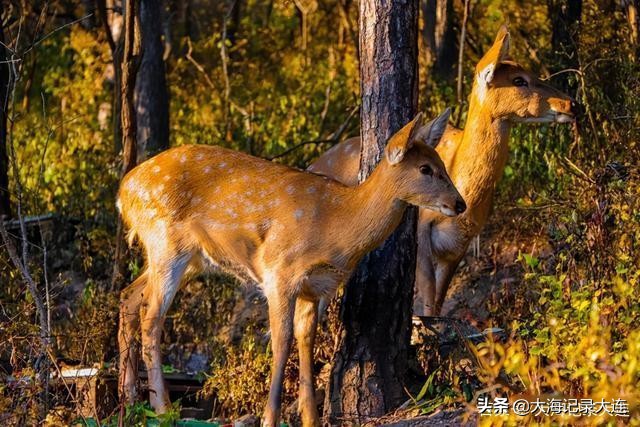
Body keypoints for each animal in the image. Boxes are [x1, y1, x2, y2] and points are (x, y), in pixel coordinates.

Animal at [117, 111, 462, 427]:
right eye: (425, 168)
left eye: (441, 163)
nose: (460, 204)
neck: (338, 226)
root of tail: (123, 192)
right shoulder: (278, 272)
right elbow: (281, 342)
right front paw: (270, 418)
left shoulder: (319, 287)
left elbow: (305, 339)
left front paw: (311, 418)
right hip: (166, 242)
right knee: (152, 315)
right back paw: (162, 408)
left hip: (190, 257)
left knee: (129, 297)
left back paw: (130, 398)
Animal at [310, 24, 576, 318]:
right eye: (519, 80)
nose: (570, 104)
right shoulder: (422, 232)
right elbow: (427, 302)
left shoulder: (461, 245)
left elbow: (438, 302)